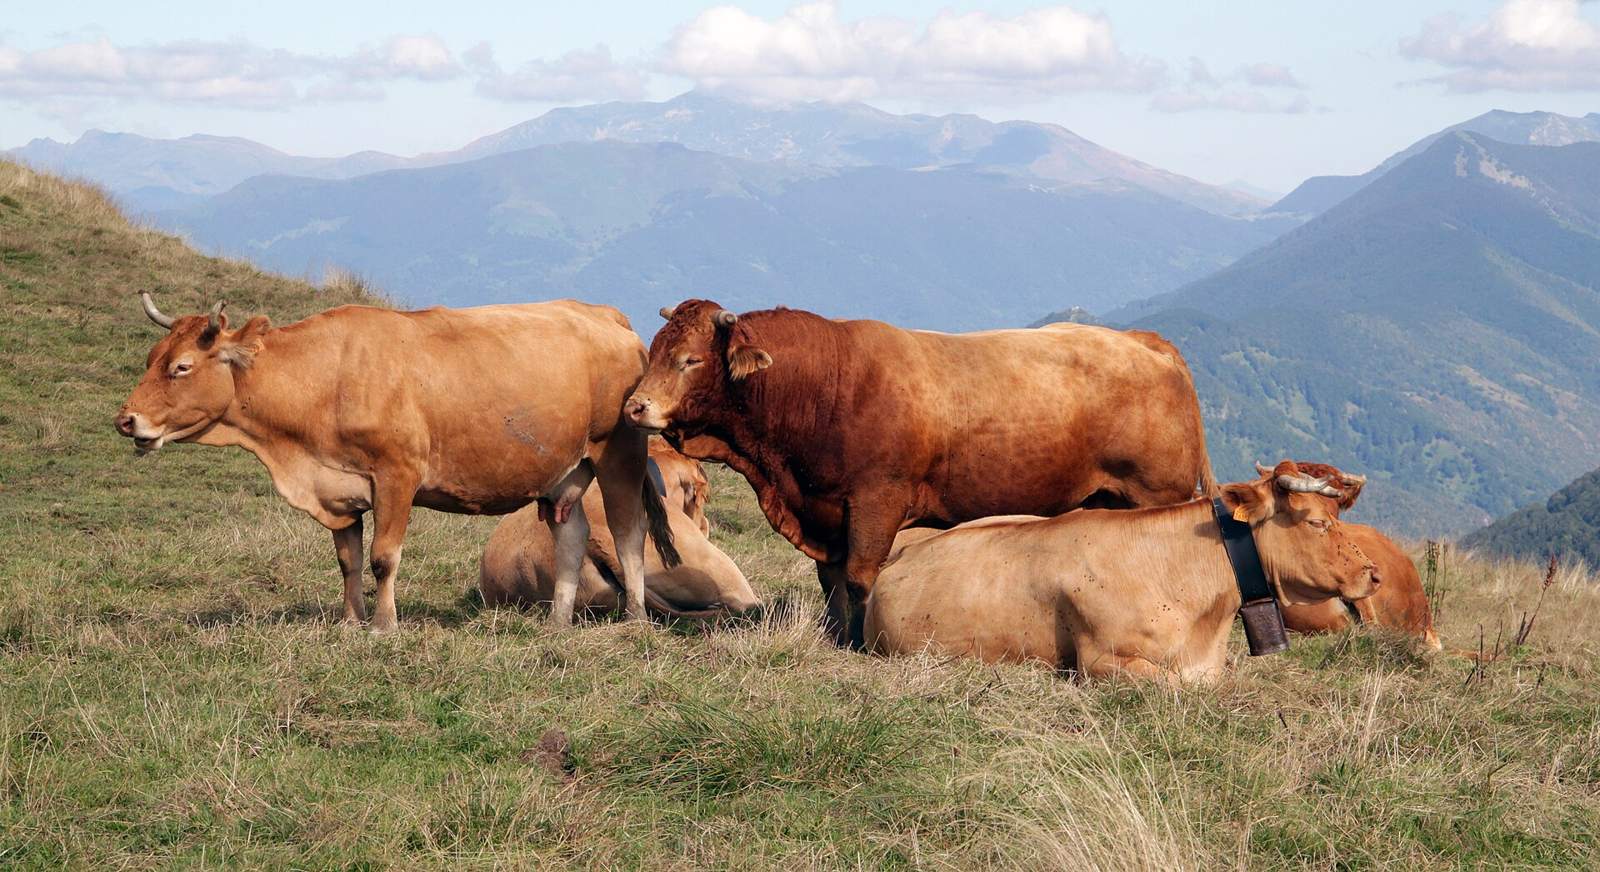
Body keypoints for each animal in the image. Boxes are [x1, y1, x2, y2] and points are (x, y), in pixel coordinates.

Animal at [115, 292, 677, 632]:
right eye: (150, 358)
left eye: (181, 367)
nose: (126, 420)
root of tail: (602, 313)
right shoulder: (341, 491)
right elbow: (348, 560)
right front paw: (350, 621)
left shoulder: (397, 475)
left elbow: (384, 557)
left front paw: (384, 625)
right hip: (562, 471)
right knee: (571, 534)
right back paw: (558, 620)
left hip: (618, 451)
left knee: (627, 532)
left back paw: (634, 618)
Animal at [623, 299, 1217, 647]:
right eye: (656, 349)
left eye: (691, 360)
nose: (635, 407)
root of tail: (1143, 339)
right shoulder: (826, 512)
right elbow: (830, 579)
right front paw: (834, 634)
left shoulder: (876, 502)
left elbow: (860, 578)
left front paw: (861, 643)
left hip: (1155, 493)